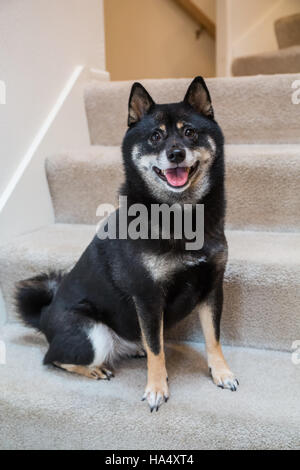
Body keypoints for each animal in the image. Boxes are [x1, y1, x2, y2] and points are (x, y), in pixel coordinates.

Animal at [15, 77, 239, 412]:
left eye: (190, 132)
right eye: (155, 136)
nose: (175, 153)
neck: (180, 215)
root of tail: (44, 318)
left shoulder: (211, 287)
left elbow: (213, 338)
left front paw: (221, 372)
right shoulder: (147, 297)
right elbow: (158, 349)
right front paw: (157, 388)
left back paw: (134, 349)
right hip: (93, 334)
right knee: (53, 358)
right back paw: (96, 369)